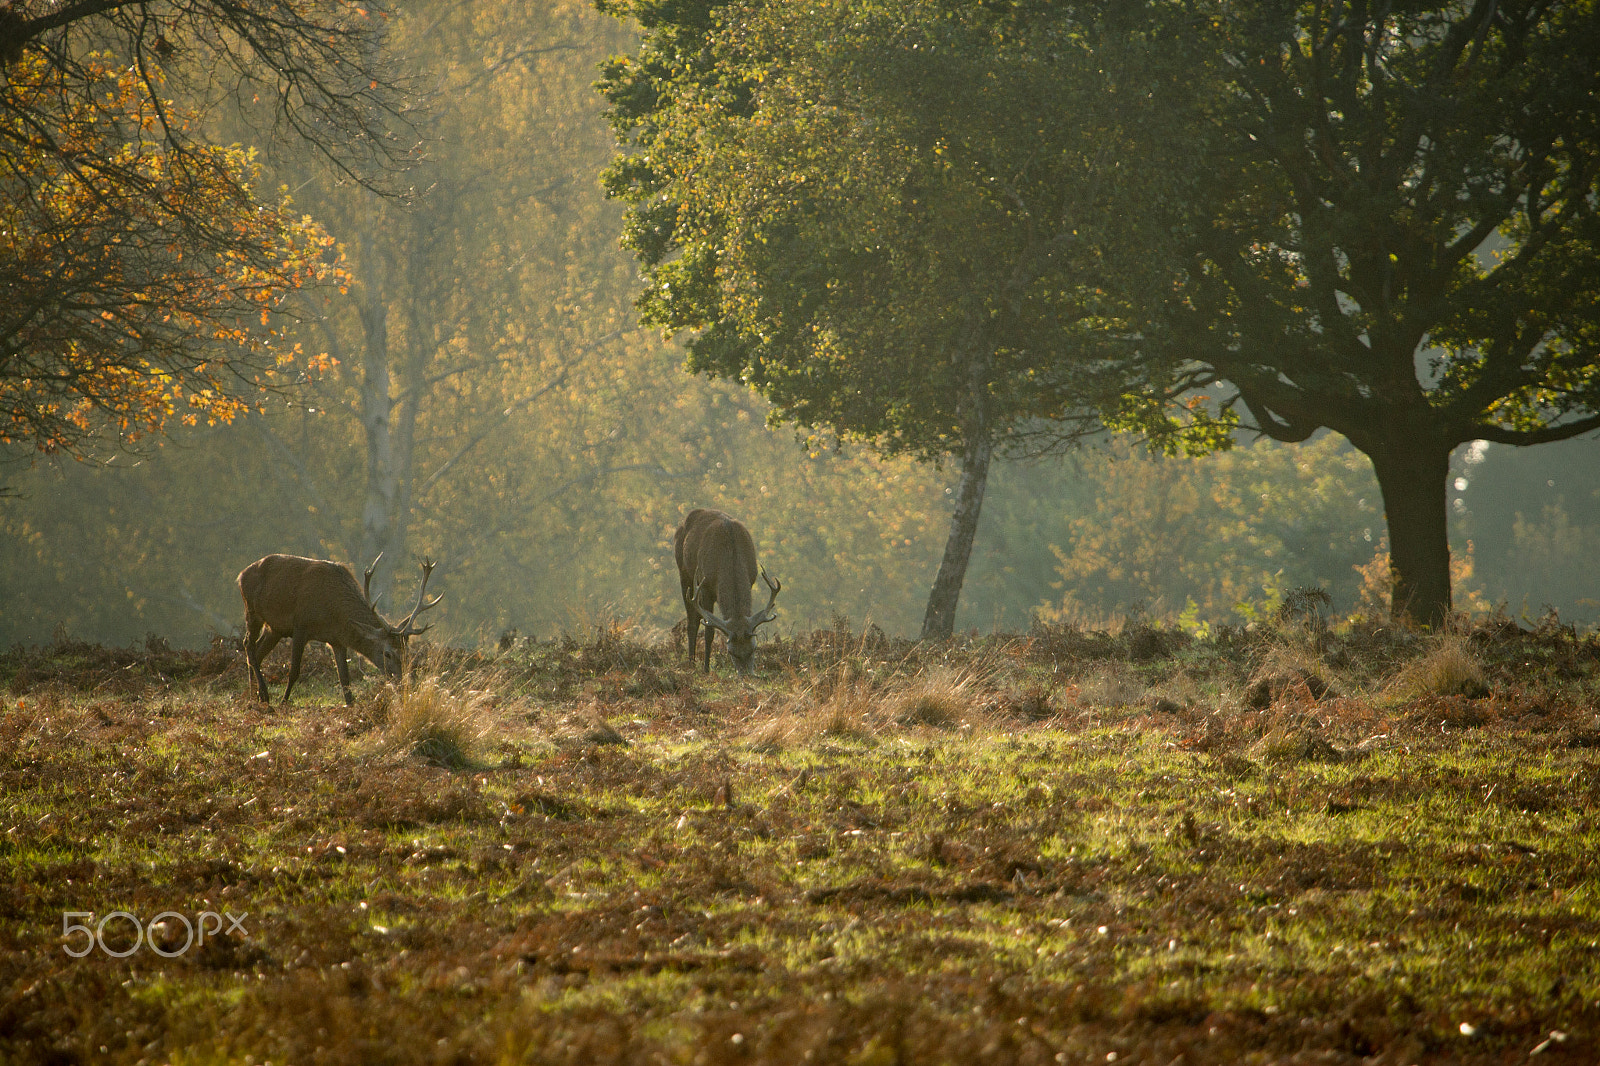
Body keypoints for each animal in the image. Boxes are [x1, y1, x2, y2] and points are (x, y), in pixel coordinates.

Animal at [237, 553, 442, 706]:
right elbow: (294, 671)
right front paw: (284, 702)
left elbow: (345, 681)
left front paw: (351, 707)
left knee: (258, 652)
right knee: (248, 645)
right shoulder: (300, 626)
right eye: (387, 653)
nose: (405, 682)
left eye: (407, 651)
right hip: (252, 611)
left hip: (275, 628)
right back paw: (262, 695)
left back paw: (254, 695)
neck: (333, 614)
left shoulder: (337, 641)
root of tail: (241, 575)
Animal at [674, 508, 780, 675]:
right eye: (731, 652)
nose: (747, 675)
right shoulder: (705, 587)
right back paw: (691, 663)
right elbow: (709, 632)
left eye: (754, 648)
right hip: (684, 573)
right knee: (692, 622)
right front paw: (706, 669)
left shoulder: (751, 579)